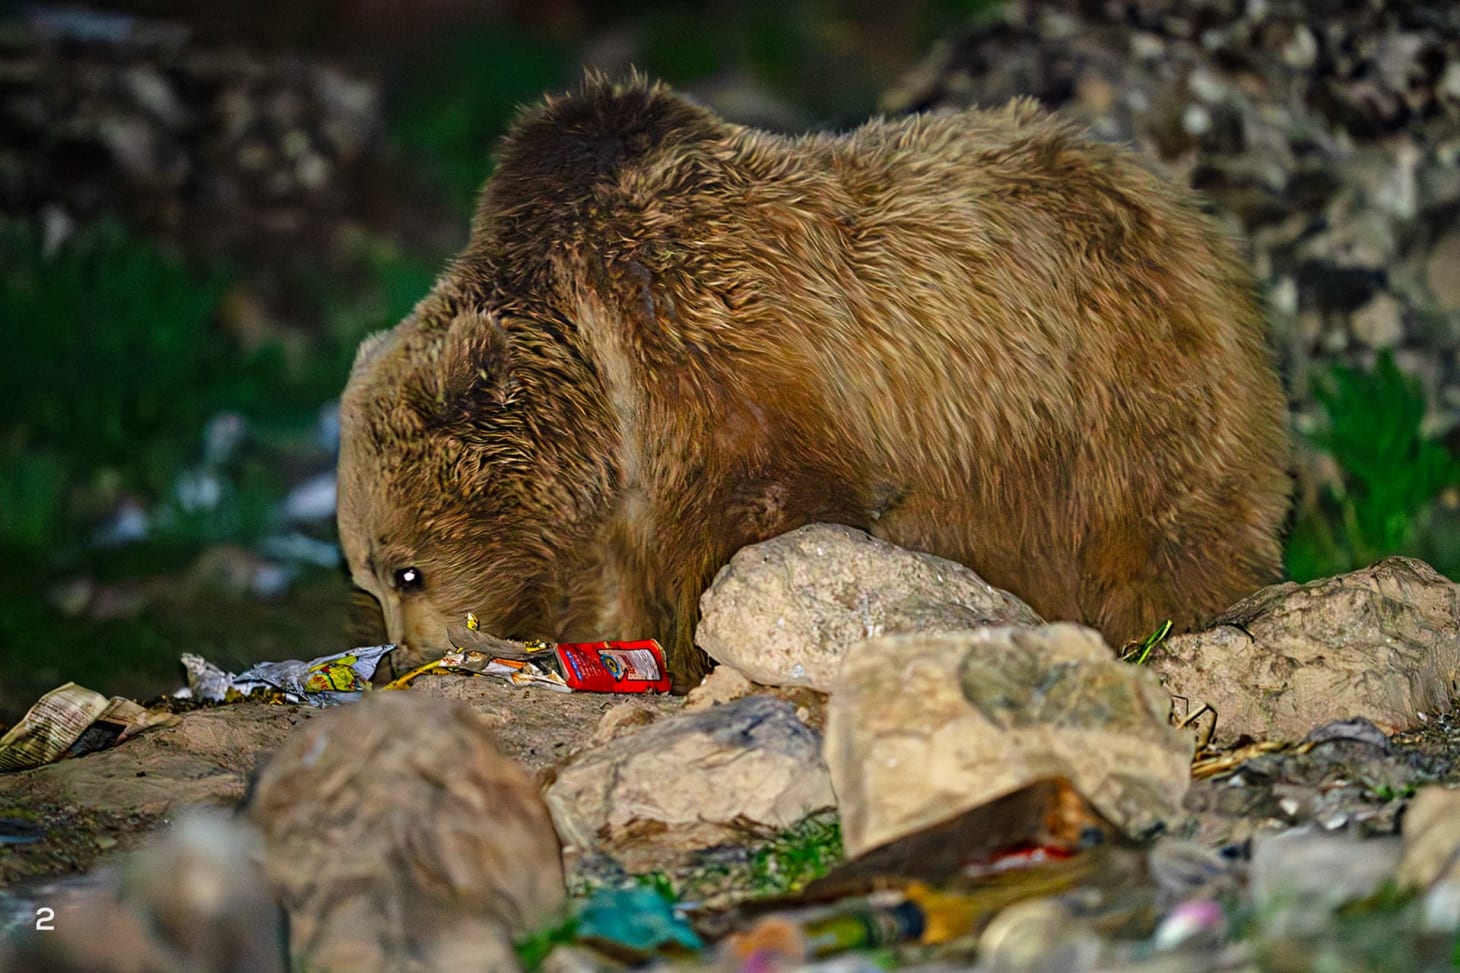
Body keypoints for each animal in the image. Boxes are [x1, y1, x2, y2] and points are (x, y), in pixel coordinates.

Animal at [337, 74, 1291, 692]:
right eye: (367, 577)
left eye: (405, 570)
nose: (400, 660)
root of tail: (1175, 195)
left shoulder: (704, 334)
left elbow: (762, 501)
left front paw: (701, 653)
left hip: (1106, 375)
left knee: (1163, 520)